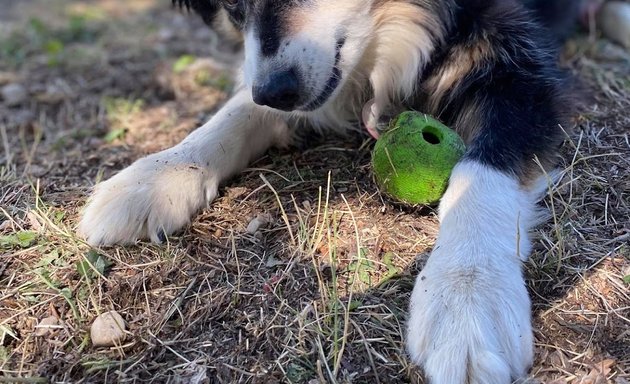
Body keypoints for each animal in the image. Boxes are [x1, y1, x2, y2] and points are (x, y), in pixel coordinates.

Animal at [79, 1, 584, 382]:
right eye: (233, 3)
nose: (274, 90)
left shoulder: (520, 70)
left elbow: (481, 171)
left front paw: (468, 295)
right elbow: (238, 111)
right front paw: (155, 175)